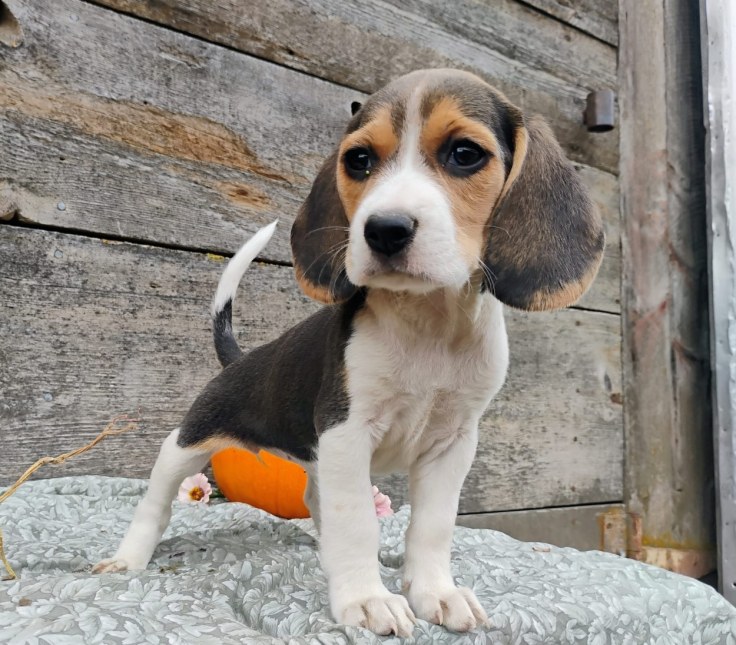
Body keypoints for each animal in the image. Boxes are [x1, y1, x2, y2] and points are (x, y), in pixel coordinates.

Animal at [93, 68, 604, 637]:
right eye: (359, 160)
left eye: (465, 153)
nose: (384, 229)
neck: (428, 324)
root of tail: (241, 359)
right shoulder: (347, 432)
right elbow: (356, 522)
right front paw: (367, 599)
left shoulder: (452, 444)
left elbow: (432, 526)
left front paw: (434, 592)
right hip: (192, 440)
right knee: (158, 493)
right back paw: (128, 556)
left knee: (313, 500)